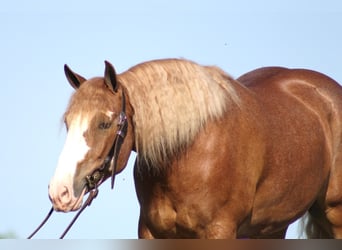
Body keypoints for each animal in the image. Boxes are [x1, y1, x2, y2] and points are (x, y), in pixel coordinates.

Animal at [47, 58, 342, 238]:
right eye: (68, 121)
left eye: (104, 123)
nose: (59, 192)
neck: (188, 152)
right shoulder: (153, 232)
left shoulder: (219, 231)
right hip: (269, 228)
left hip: (333, 214)